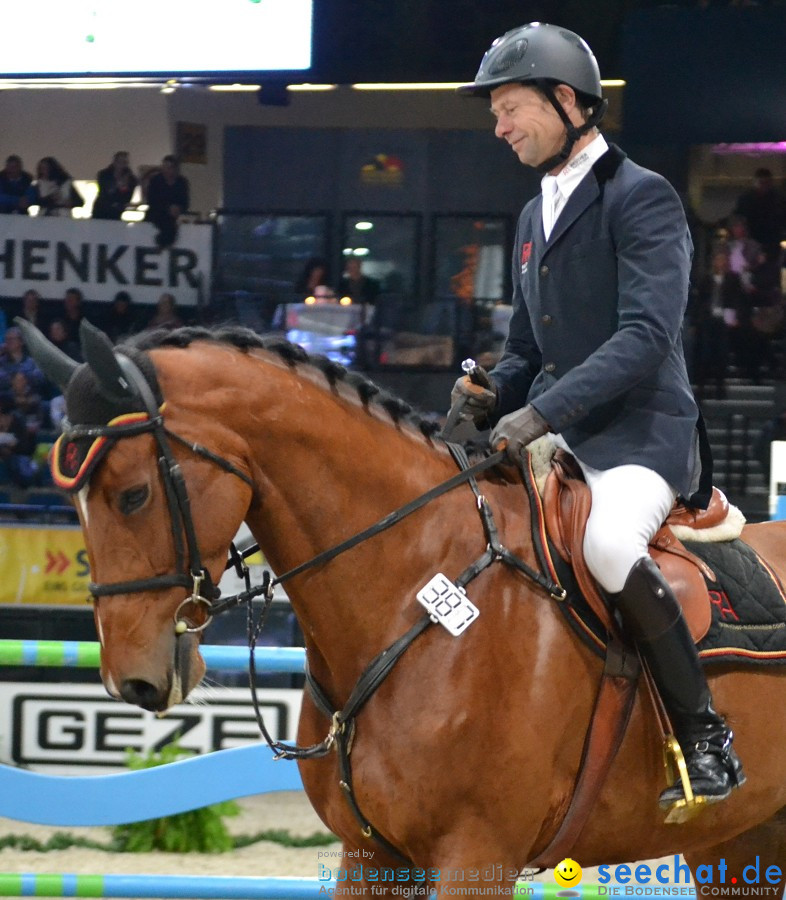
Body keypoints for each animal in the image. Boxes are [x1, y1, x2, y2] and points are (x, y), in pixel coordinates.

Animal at [16, 320, 786, 896]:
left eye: (133, 494)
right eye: (72, 503)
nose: (132, 680)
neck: (413, 585)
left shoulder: (477, 855)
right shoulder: (371, 856)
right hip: (738, 842)